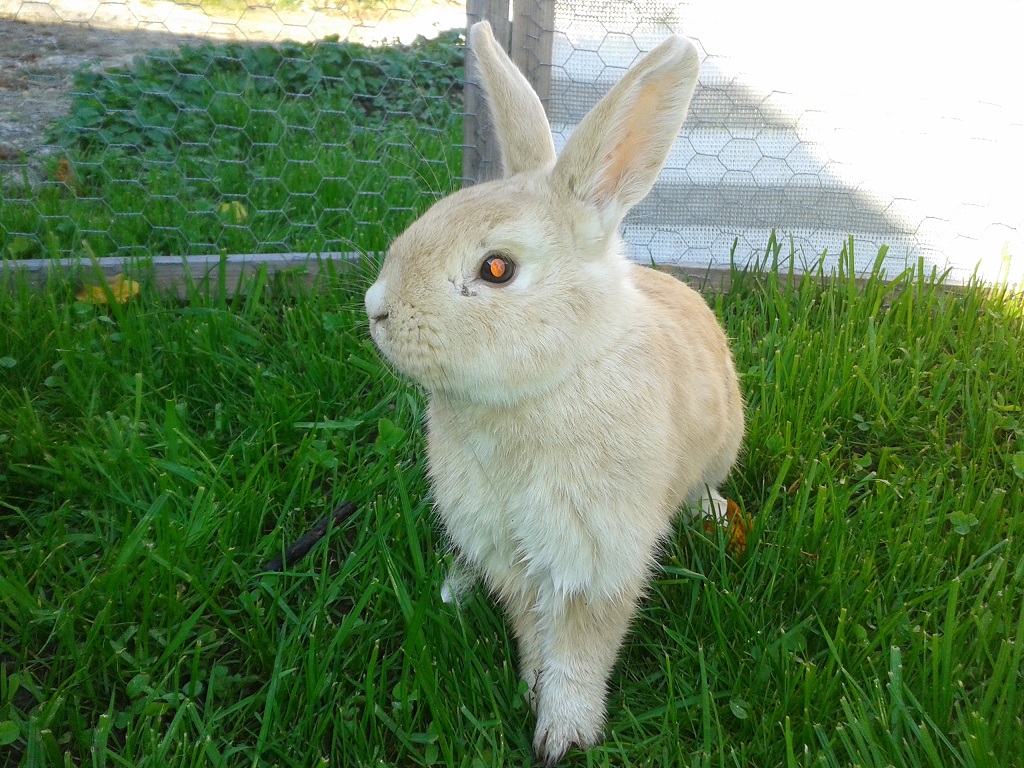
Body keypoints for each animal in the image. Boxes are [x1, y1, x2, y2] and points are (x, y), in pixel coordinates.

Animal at [364, 20, 745, 765]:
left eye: (497, 269)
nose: (377, 310)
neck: (544, 385)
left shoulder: (594, 558)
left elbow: (580, 652)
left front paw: (563, 734)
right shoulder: (504, 545)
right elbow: (529, 627)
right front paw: (532, 688)